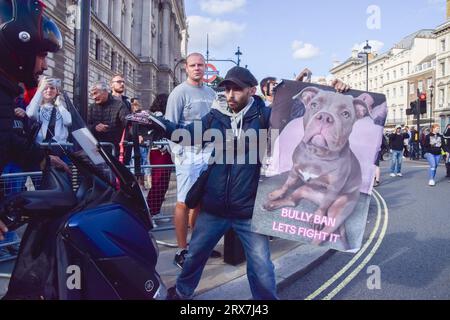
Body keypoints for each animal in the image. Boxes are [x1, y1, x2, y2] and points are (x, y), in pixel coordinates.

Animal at [264, 86, 370, 249]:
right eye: (314, 105)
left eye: (345, 114)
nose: (325, 117)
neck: (317, 155)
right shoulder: (294, 170)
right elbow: (287, 184)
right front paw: (276, 193)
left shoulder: (334, 187)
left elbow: (325, 204)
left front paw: (318, 217)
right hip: (302, 190)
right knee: (292, 201)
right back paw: (270, 205)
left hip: (338, 211)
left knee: (324, 230)